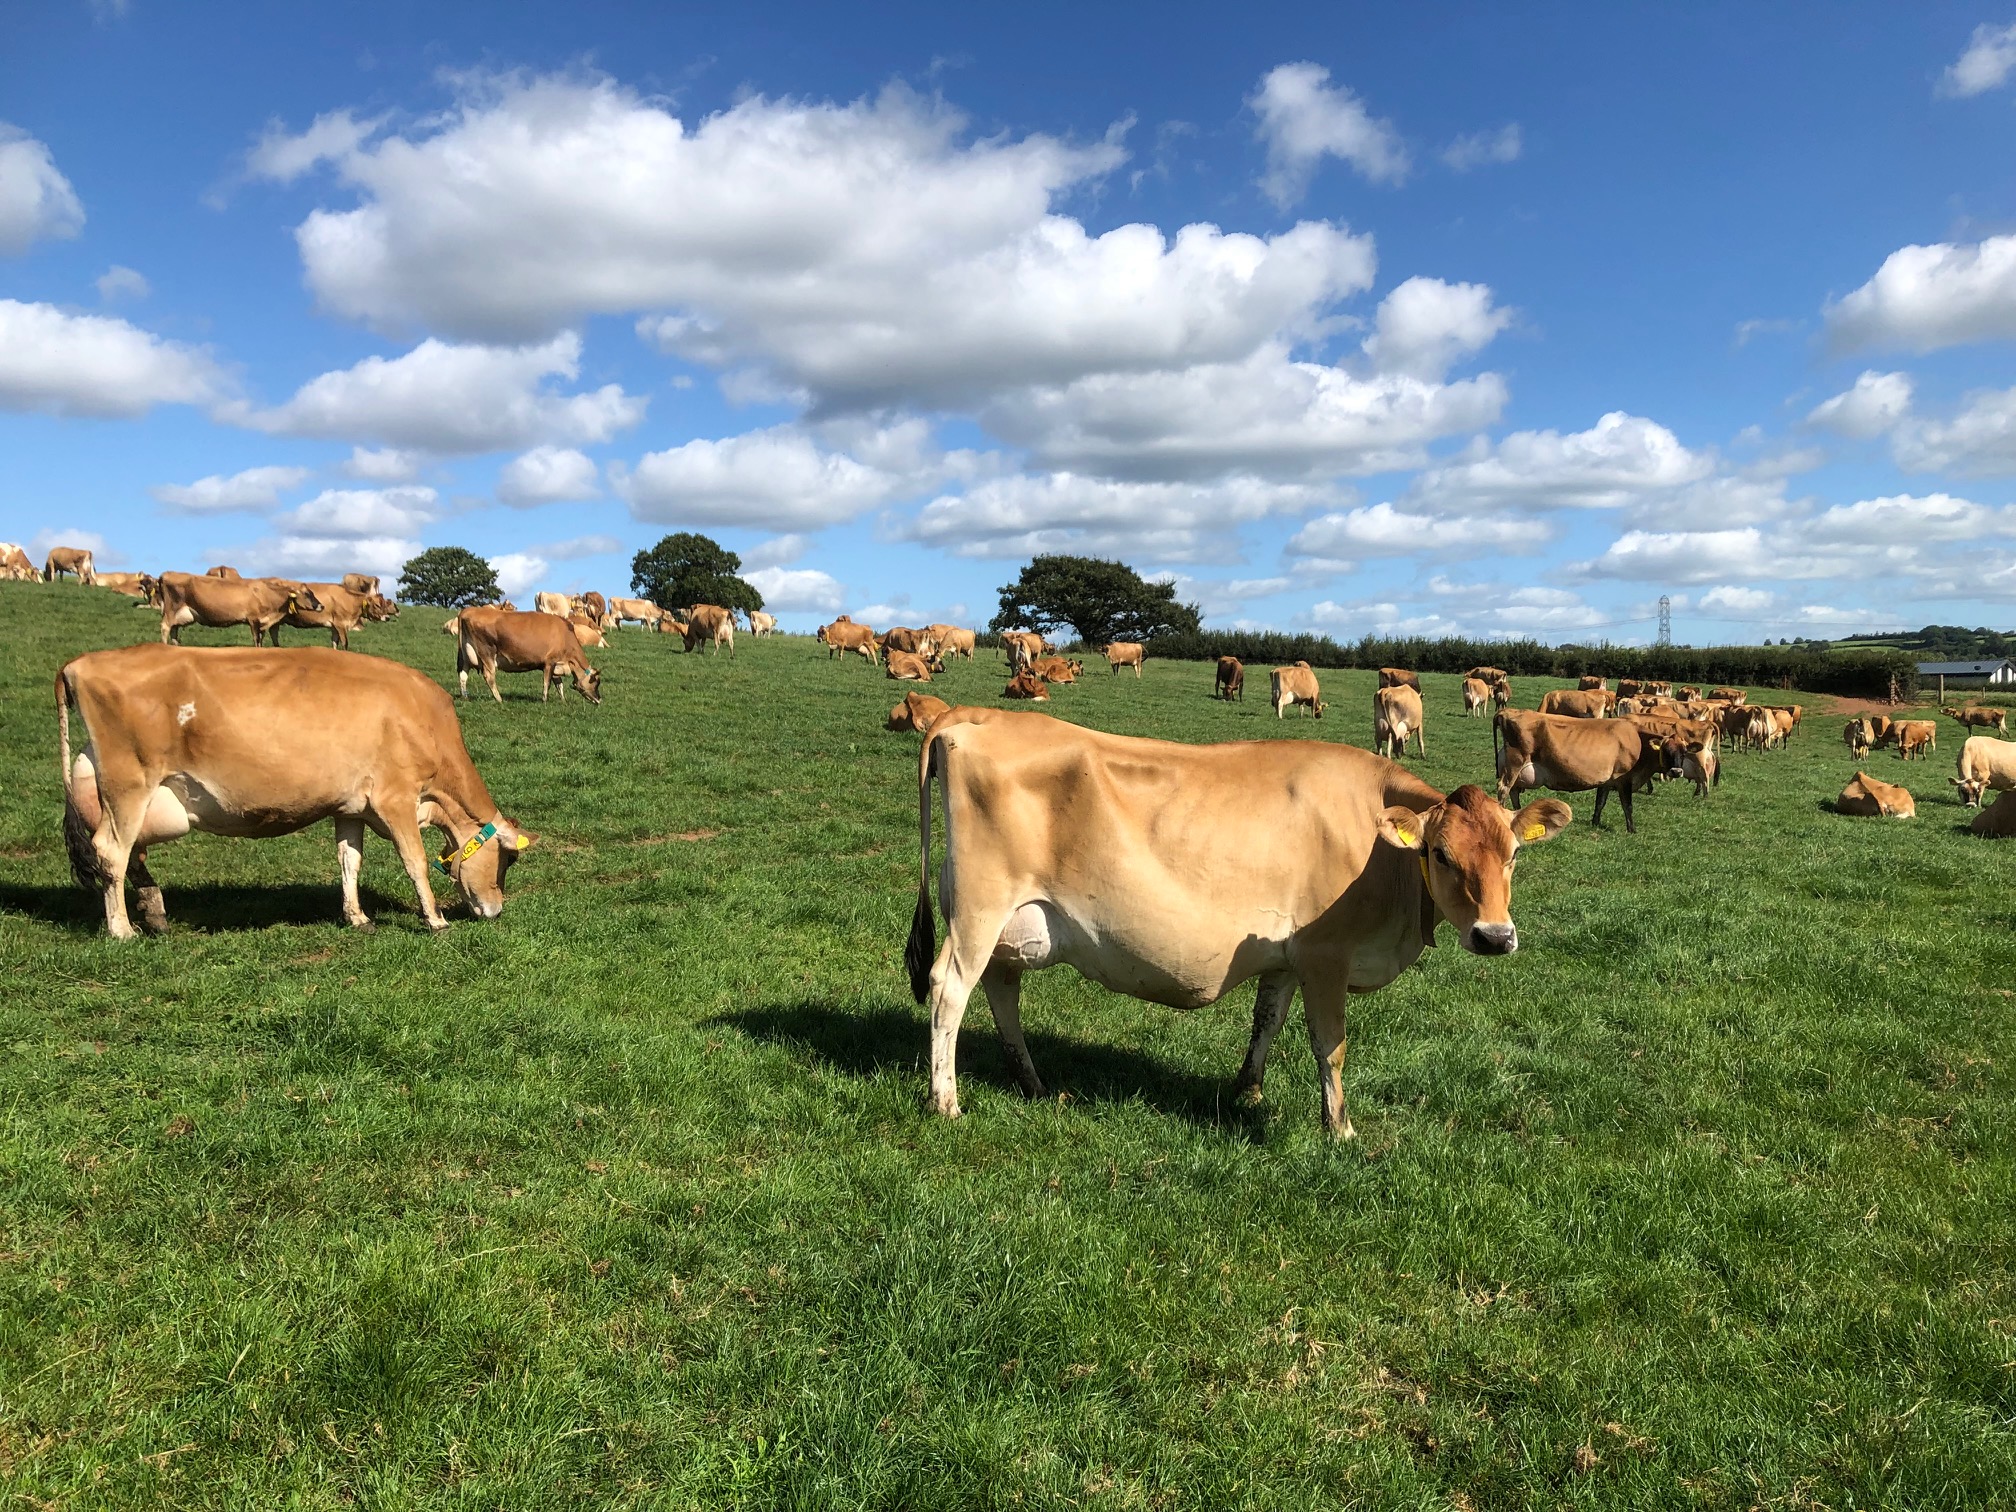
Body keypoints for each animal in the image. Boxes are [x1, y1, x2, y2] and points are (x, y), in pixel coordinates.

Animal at [57, 644, 535, 938]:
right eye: (507, 860)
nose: (496, 910)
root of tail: (78, 664)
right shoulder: (395, 798)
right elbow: (415, 861)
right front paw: (435, 920)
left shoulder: (351, 807)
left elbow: (349, 861)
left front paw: (357, 917)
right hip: (128, 785)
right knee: (111, 851)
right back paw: (122, 929)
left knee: (131, 855)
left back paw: (154, 911)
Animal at [155, 573, 321, 646]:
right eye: (307, 594)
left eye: (311, 592)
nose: (321, 605)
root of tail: (165, 574)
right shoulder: (253, 619)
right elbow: (256, 639)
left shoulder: (262, 622)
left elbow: (261, 639)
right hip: (171, 610)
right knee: (165, 627)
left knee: (174, 630)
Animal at [455, 608, 603, 704]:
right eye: (596, 682)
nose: (599, 699)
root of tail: (468, 610)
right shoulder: (550, 662)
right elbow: (547, 683)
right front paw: (544, 700)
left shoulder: (556, 665)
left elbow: (559, 684)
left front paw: (563, 701)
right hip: (487, 653)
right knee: (489, 676)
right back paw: (499, 699)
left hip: (465, 655)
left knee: (463, 675)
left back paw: (465, 697)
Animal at [904, 709, 1572, 1133]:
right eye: (1440, 854)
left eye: (1513, 854)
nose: (1494, 936)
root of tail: (972, 716)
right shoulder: (1326, 955)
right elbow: (1330, 1046)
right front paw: (1342, 1130)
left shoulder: (1287, 954)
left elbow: (1266, 1021)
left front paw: (1247, 1089)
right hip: (979, 906)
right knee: (949, 988)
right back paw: (946, 1101)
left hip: (1015, 920)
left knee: (1001, 988)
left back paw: (1033, 1083)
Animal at [1495, 709, 1666, 833]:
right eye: (1668, 749)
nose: (1673, 771)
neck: (1637, 738)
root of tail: (1508, 712)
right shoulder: (1624, 778)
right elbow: (1627, 805)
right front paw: (1632, 829)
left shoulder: (1607, 780)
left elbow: (1600, 801)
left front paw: (1595, 822)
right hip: (1515, 763)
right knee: (1504, 789)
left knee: (1513, 791)